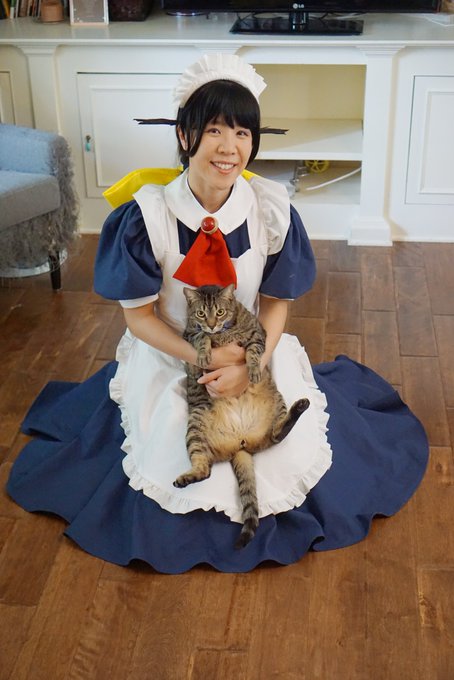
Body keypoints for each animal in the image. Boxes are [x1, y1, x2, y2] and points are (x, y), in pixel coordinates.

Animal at [173, 284, 310, 549]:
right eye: (201, 314)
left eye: (220, 311)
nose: (212, 325)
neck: (223, 332)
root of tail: (241, 444)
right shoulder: (189, 333)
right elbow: (201, 338)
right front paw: (203, 355)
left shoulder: (258, 334)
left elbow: (253, 353)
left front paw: (253, 370)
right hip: (196, 423)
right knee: (204, 469)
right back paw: (186, 478)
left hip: (277, 402)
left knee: (278, 433)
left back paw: (300, 407)